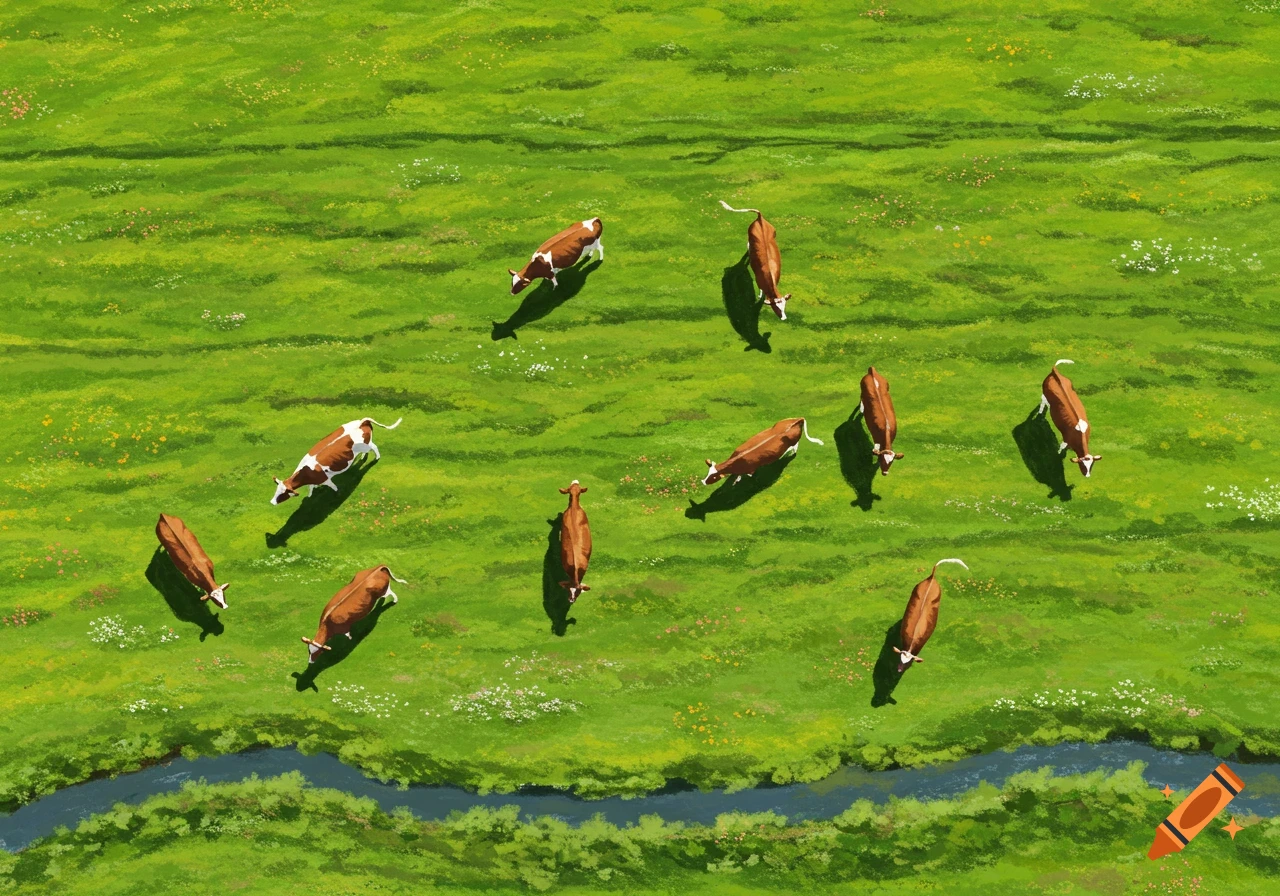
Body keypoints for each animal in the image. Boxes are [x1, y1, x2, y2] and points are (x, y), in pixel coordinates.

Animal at [271, 417, 402, 505]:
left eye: (283, 494)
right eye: (276, 490)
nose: (272, 502)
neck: (306, 472)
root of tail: (362, 422)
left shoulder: (326, 479)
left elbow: (333, 487)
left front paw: (337, 493)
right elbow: (311, 487)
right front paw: (310, 495)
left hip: (367, 444)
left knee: (374, 447)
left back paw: (377, 457)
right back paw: (363, 457)